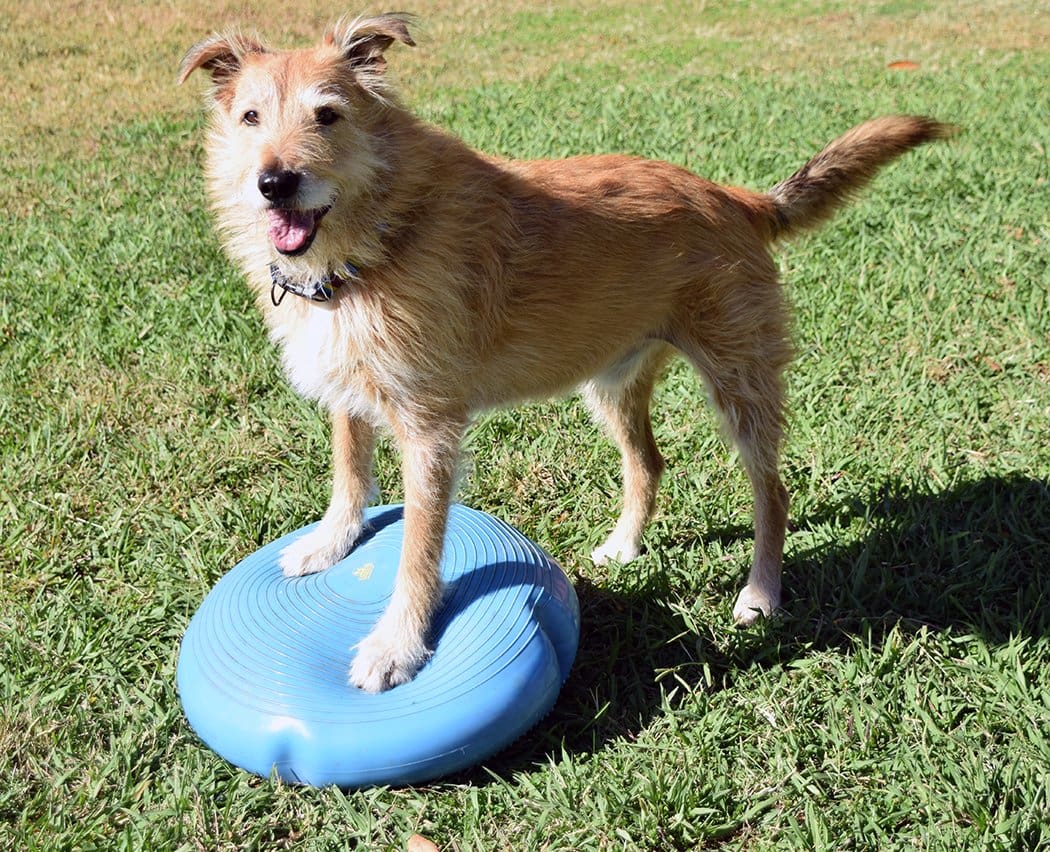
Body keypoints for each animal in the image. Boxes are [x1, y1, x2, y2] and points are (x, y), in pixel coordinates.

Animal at [180, 13, 953, 693]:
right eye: (250, 118)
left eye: (328, 115)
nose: (274, 182)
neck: (380, 236)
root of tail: (733, 197)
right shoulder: (352, 390)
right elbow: (348, 474)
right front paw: (330, 543)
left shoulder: (429, 431)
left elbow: (418, 554)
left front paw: (397, 646)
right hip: (611, 384)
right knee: (648, 462)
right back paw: (626, 546)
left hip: (740, 383)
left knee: (773, 491)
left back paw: (761, 593)